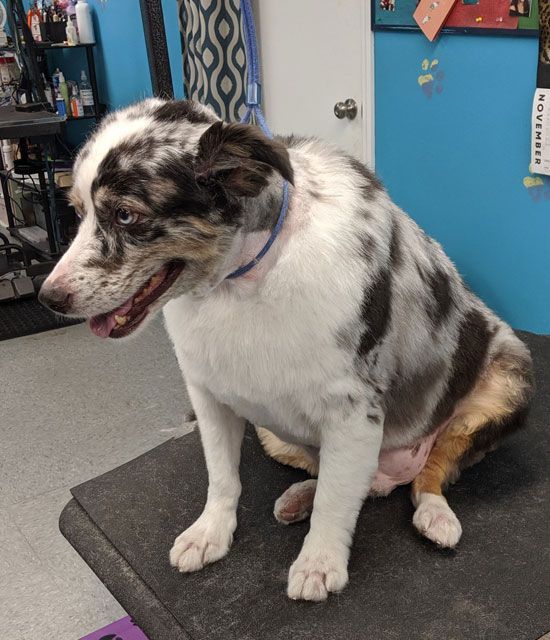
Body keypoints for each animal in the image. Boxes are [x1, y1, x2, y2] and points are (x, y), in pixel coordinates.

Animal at [40, 99, 536, 600]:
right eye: (77, 211)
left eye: (125, 215)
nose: (49, 298)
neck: (241, 282)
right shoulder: (208, 395)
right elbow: (223, 477)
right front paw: (209, 534)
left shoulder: (354, 413)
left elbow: (336, 505)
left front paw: (319, 563)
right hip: (273, 431)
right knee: (351, 480)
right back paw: (301, 497)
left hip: (507, 380)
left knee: (428, 473)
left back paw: (434, 513)